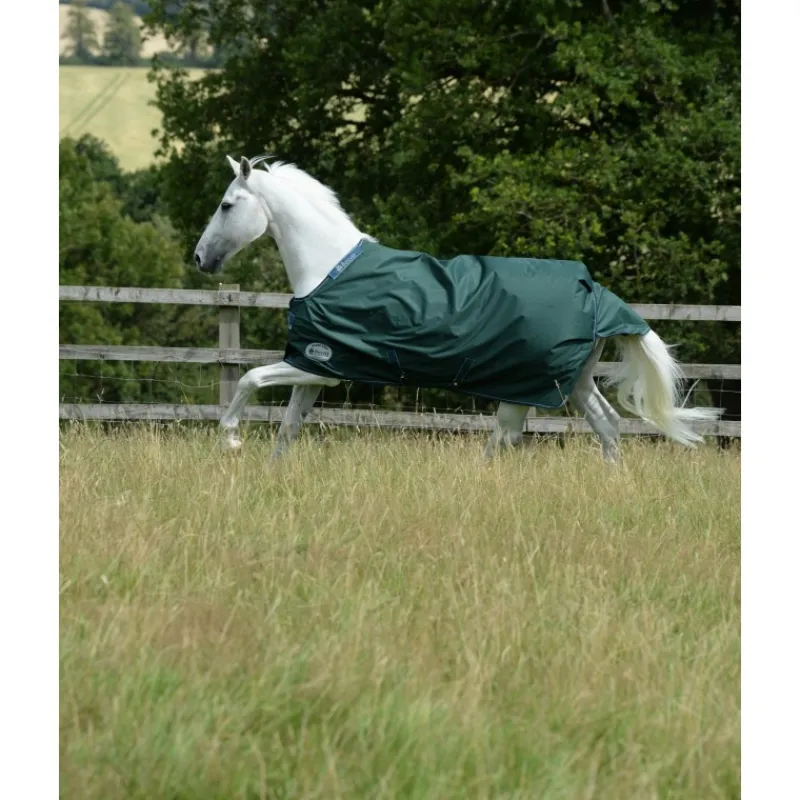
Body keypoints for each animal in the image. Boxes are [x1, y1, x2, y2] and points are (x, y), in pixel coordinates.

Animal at [194, 155, 721, 461]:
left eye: (226, 205)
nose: (200, 258)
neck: (328, 268)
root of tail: (596, 292)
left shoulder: (316, 365)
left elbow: (248, 379)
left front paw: (232, 438)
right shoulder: (316, 371)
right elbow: (286, 431)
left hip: (519, 389)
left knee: (502, 442)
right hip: (572, 382)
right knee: (608, 428)